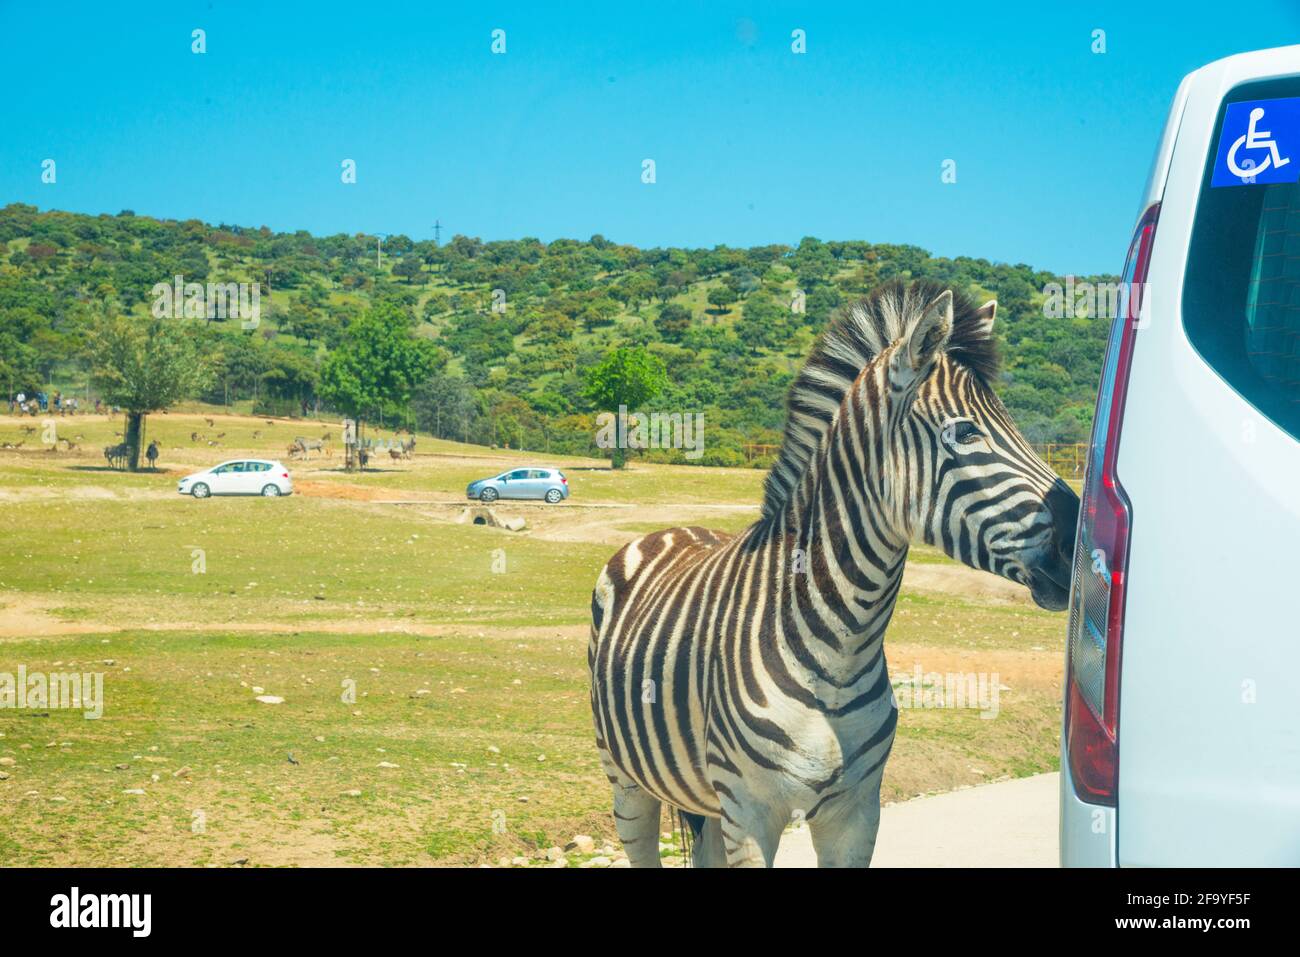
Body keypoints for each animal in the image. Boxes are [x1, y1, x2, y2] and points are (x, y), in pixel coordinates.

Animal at [588, 279, 1079, 868]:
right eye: (964, 433)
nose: (1080, 536)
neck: (839, 651)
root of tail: (670, 530)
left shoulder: (858, 810)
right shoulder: (750, 812)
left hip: (702, 797)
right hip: (626, 778)